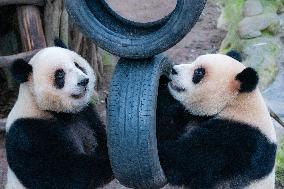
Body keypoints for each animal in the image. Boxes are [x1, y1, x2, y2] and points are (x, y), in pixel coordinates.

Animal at [4, 41, 113, 189]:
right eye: (60, 74)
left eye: (77, 65)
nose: (84, 81)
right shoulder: (27, 132)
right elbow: (58, 172)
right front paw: (107, 165)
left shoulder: (85, 114)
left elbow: (101, 138)